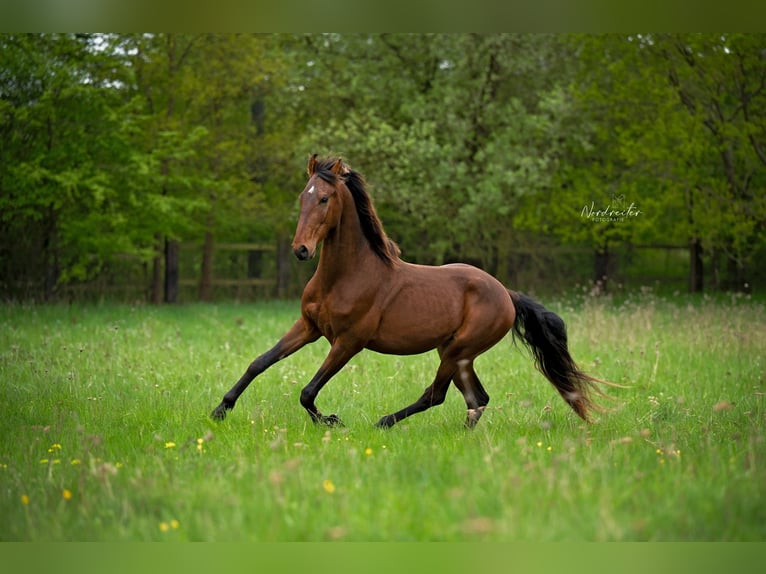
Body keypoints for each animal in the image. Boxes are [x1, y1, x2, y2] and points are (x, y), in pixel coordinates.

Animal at [213, 155, 608, 430]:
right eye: (302, 197)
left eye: (324, 199)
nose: (301, 250)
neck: (344, 276)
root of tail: (506, 294)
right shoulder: (308, 327)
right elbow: (259, 362)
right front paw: (220, 410)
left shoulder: (348, 341)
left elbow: (307, 391)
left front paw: (332, 421)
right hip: (456, 353)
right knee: (476, 398)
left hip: (458, 351)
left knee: (437, 394)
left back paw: (383, 422)